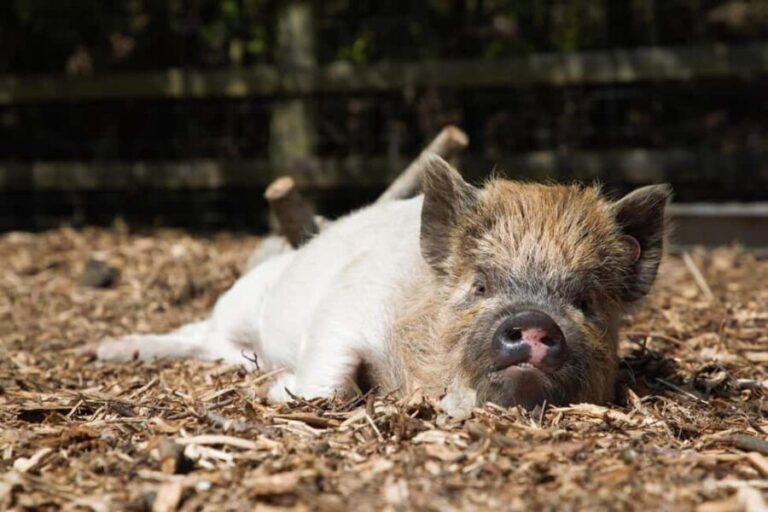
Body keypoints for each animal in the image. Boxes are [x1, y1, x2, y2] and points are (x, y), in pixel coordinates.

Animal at [96, 155, 671, 410]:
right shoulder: (345, 310)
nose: (532, 322)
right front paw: (279, 393)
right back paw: (104, 350)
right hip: (240, 300)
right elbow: (330, 381)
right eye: (481, 285)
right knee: (195, 331)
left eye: (585, 300)